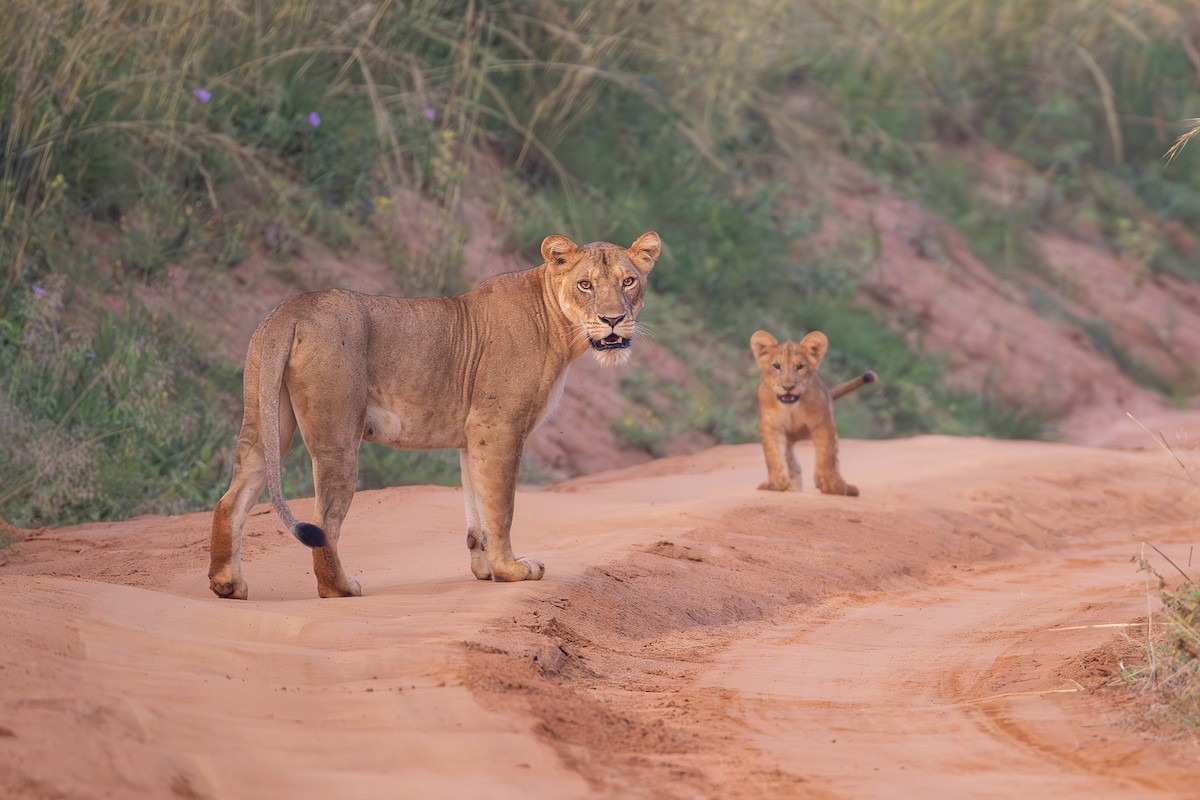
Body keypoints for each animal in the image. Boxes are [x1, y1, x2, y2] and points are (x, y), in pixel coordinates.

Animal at [208, 232, 662, 600]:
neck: (561, 328)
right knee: (324, 520)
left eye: (628, 281)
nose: (613, 320)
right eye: (586, 284)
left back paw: (227, 584)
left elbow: (476, 510)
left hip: (264, 421)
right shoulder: (499, 426)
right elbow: (501, 506)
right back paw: (341, 588)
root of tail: (292, 308)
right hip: (337, 433)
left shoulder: (473, 435)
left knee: (231, 500)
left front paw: (484, 569)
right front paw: (511, 570)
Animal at [750, 329, 875, 496]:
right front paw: (776, 485)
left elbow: (826, 456)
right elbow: (773, 456)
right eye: (776, 366)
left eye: (800, 367)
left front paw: (832, 487)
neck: (792, 408)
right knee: (793, 464)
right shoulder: (771, 426)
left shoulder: (822, 422)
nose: (788, 387)